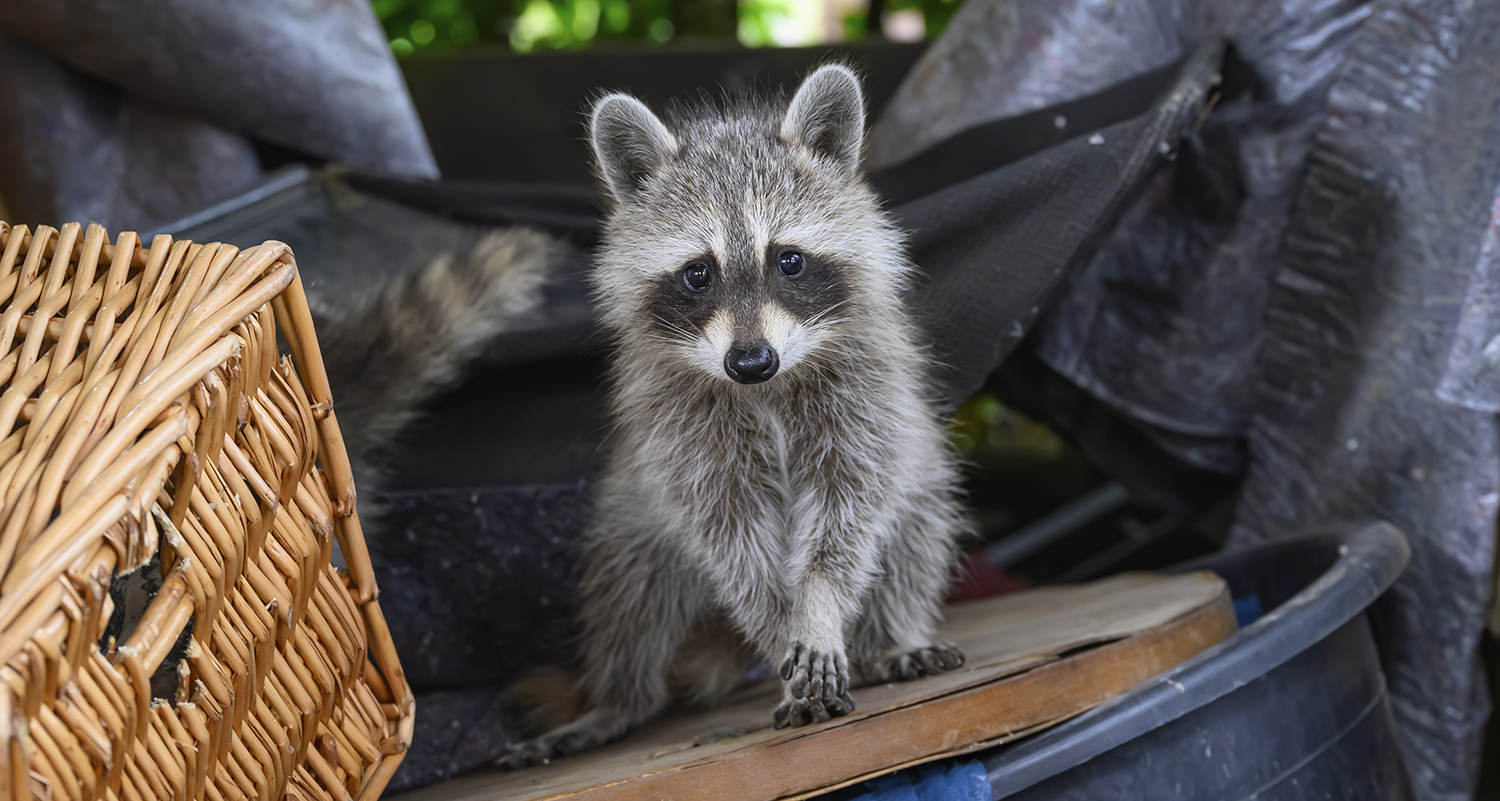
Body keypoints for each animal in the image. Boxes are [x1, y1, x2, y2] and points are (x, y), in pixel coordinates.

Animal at [501, 64, 969, 765]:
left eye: (789, 260)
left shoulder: (866, 399)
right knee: (629, 600)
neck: (762, 392)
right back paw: (619, 700)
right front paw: (780, 625)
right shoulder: (683, 434)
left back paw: (889, 640)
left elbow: (848, 511)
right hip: (632, 520)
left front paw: (818, 607)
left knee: (914, 528)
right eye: (699, 274)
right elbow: (734, 542)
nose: (751, 362)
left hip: (916, 465)